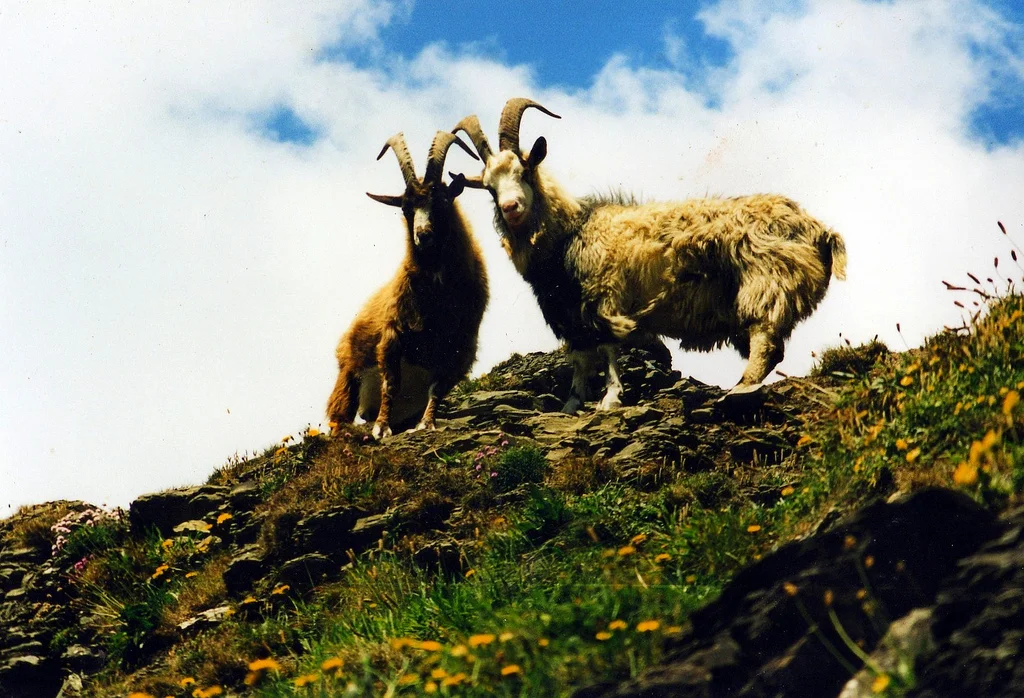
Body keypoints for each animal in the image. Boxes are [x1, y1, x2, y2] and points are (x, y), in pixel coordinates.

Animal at [326, 131, 488, 439]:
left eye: (443, 200)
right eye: (405, 208)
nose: (423, 235)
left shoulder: (459, 351)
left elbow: (436, 389)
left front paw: (426, 424)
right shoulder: (393, 336)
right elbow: (391, 384)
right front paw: (381, 429)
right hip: (348, 374)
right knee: (338, 414)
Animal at [453, 98, 846, 413]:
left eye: (524, 170)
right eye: (488, 187)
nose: (510, 208)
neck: (573, 230)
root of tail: (819, 230)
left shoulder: (604, 297)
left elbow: (609, 350)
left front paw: (610, 399)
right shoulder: (572, 315)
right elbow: (581, 360)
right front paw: (572, 404)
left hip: (767, 282)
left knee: (764, 340)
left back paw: (737, 390)